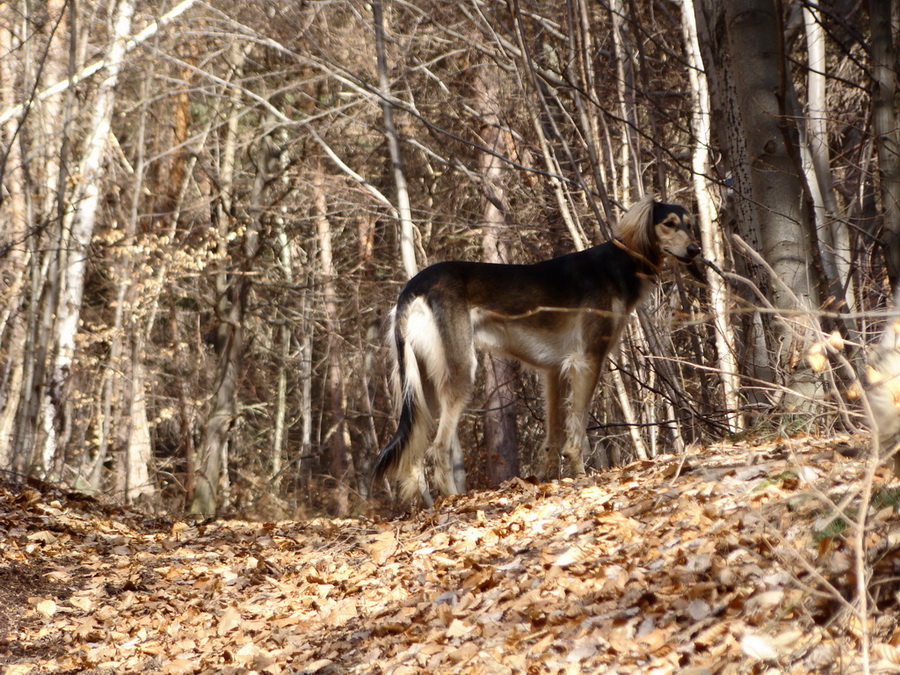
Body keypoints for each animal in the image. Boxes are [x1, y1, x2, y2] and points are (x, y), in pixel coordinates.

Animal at [372, 197, 704, 508]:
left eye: (689, 224)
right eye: (669, 224)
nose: (695, 250)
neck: (619, 262)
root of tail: (412, 287)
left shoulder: (553, 370)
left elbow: (554, 435)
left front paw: (549, 478)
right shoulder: (588, 360)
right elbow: (578, 425)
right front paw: (580, 474)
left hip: (422, 381)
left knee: (414, 448)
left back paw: (426, 507)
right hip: (460, 370)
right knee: (439, 447)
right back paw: (453, 500)